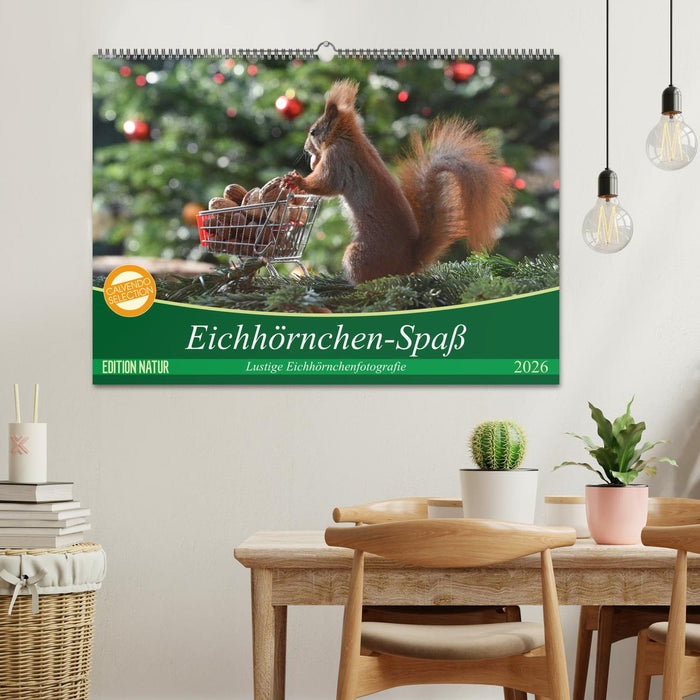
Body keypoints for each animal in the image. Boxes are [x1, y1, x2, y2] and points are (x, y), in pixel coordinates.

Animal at [285, 80, 513, 285]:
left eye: (313, 132)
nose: (305, 149)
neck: (347, 137)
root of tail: (409, 263)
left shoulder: (338, 159)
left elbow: (326, 184)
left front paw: (298, 179)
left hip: (358, 255)